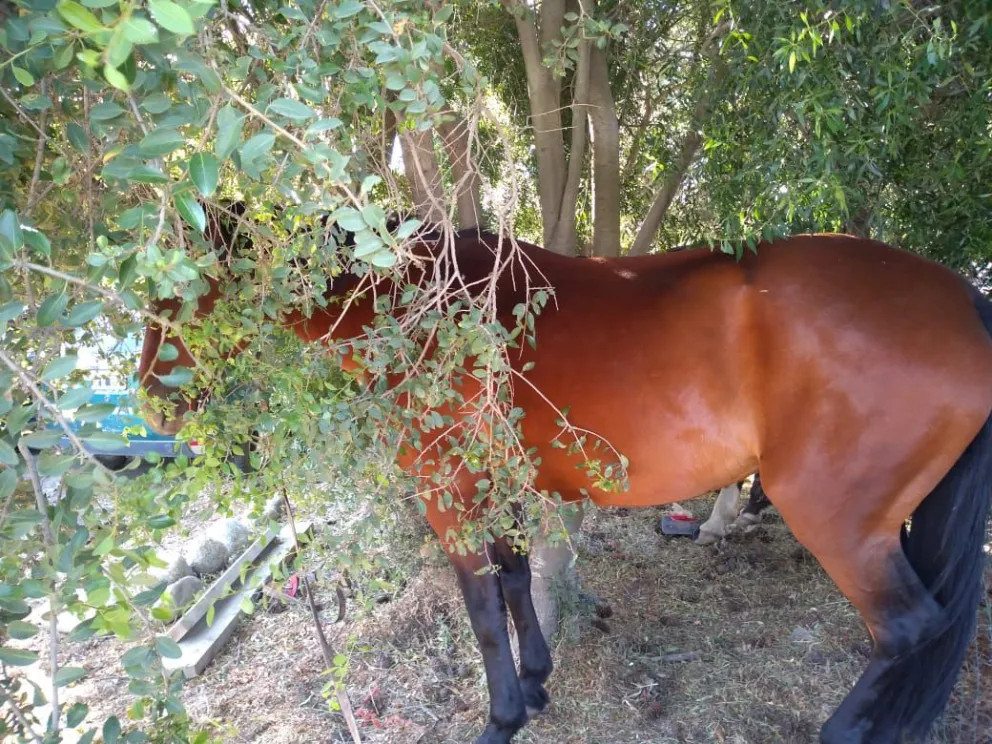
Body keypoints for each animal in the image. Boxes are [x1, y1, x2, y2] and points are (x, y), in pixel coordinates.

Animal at [137, 213, 992, 744]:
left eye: (179, 295)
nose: (150, 404)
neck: (424, 311)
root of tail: (962, 300)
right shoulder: (498, 484)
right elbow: (517, 581)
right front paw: (538, 684)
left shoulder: (450, 493)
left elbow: (484, 609)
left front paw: (501, 717)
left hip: (839, 522)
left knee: (908, 628)